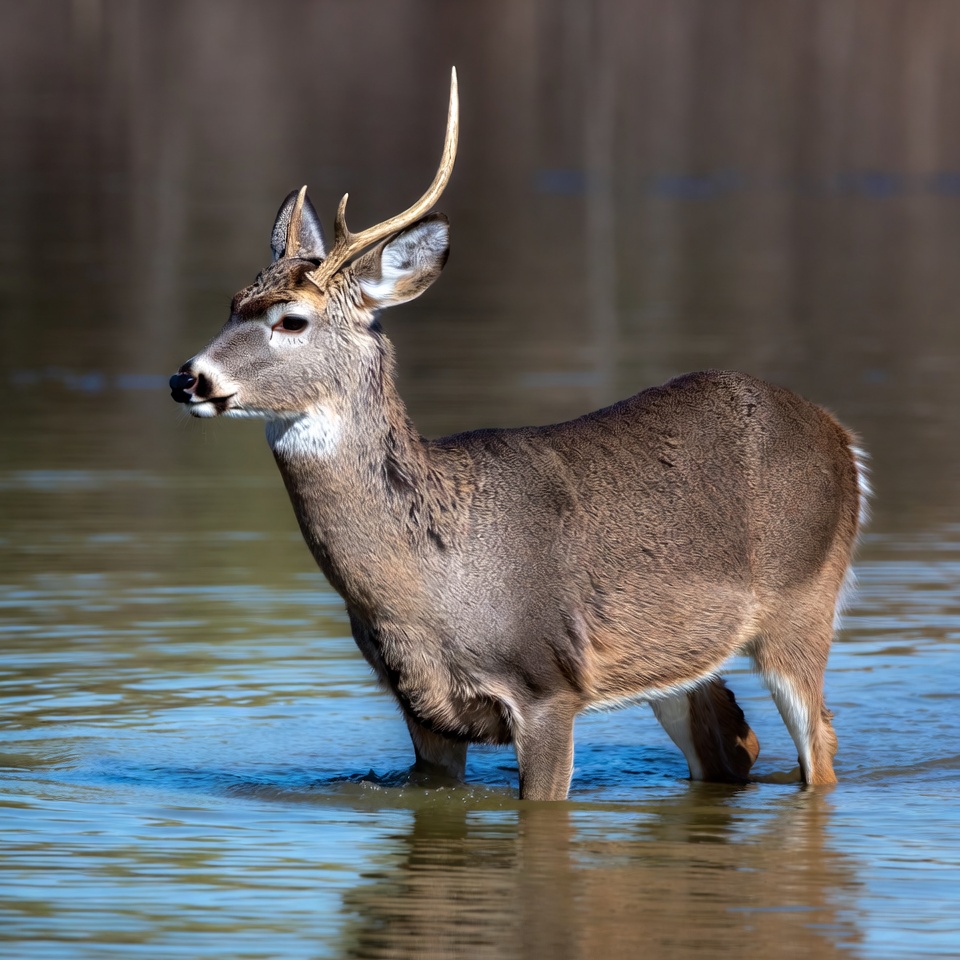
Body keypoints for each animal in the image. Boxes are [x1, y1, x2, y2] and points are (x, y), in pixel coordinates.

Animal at [169, 69, 867, 800]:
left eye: (292, 320)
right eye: (231, 304)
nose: (188, 379)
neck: (429, 582)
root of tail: (839, 434)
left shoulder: (547, 683)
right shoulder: (423, 711)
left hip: (802, 601)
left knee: (819, 744)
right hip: (680, 655)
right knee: (732, 744)